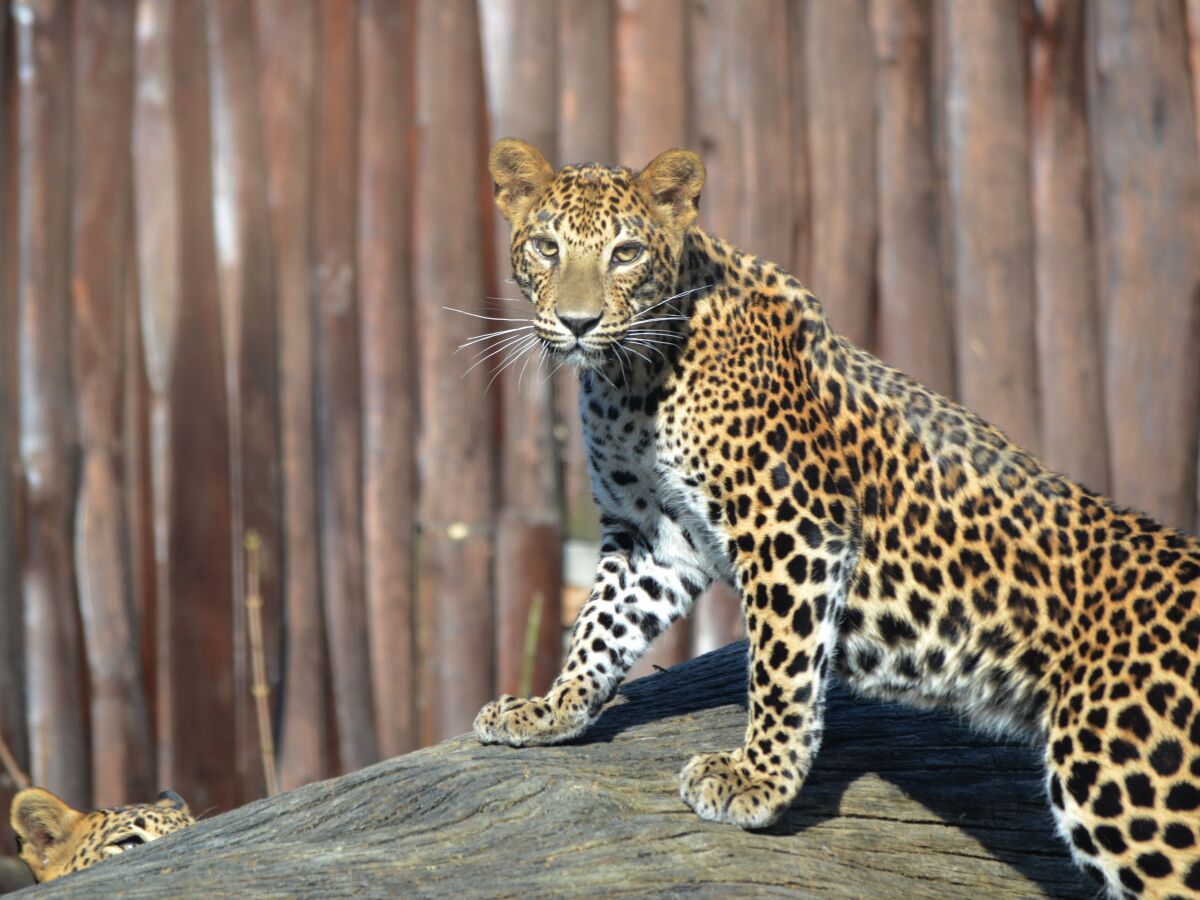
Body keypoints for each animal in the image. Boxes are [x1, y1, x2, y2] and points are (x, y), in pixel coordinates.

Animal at [472, 137, 1200, 898]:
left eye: (626, 253)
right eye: (548, 248)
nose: (579, 323)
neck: (630, 380)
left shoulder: (794, 528)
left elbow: (781, 670)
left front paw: (758, 781)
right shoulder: (653, 535)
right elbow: (600, 625)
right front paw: (553, 707)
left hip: (1126, 789)